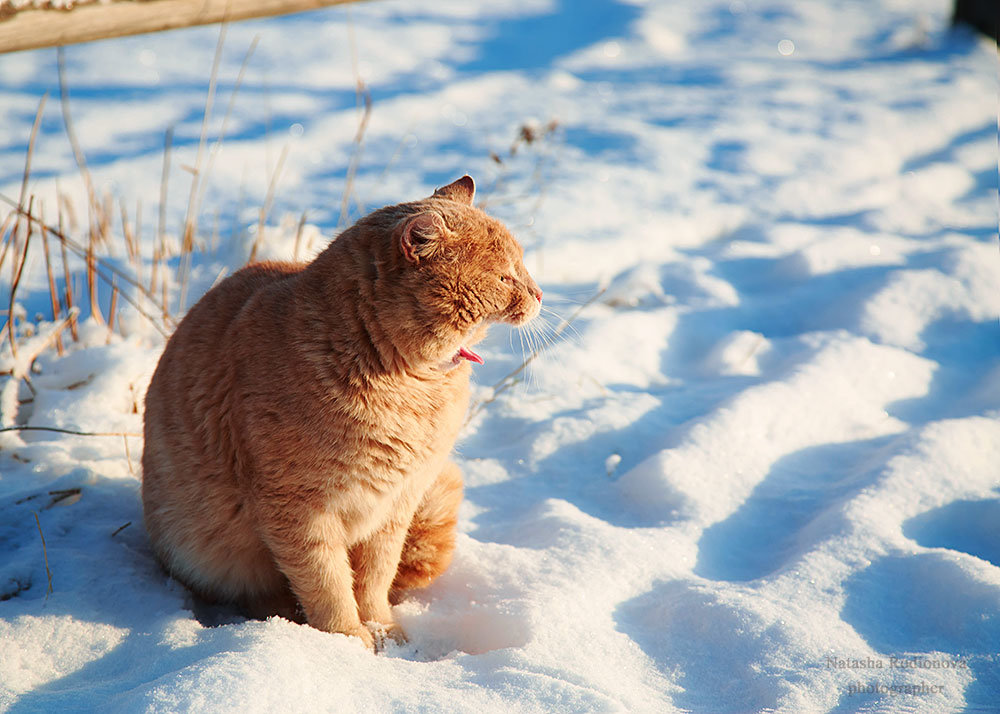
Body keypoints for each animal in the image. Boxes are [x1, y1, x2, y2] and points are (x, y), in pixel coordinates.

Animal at [141, 177, 540, 644]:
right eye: (504, 276)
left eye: (521, 267)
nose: (539, 293)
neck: (410, 388)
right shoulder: (298, 512)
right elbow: (327, 584)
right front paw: (347, 641)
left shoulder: (395, 508)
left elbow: (373, 579)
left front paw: (383, 629)